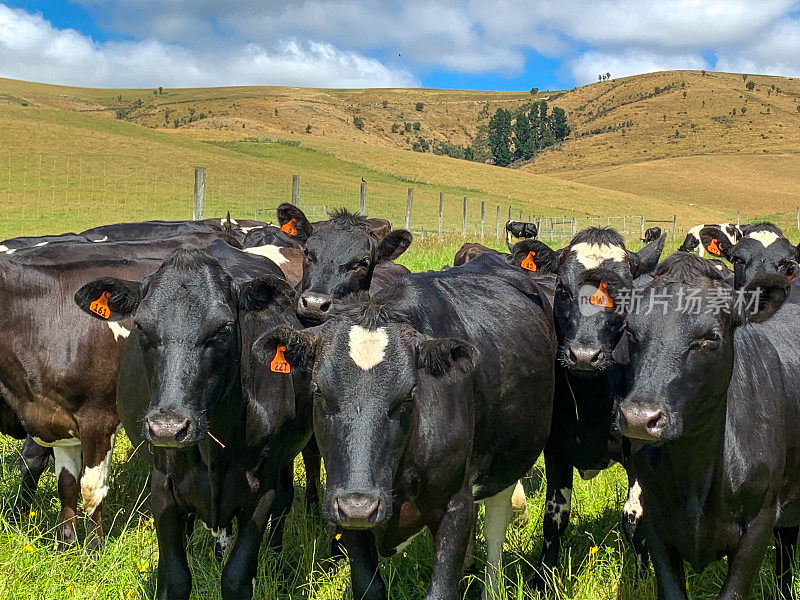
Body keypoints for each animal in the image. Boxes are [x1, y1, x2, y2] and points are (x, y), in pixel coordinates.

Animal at [74, 245, 312, 600]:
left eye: (223, 328)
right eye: (141, 326)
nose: (168, 428)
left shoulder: (261, 490)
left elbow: (237, 577)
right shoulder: (163, 485)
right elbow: (175, 577)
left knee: (285, 502)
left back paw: (277, 563)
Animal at [253, 254, 552, 600]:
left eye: (409, 394)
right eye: (318, 391)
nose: (359, 506)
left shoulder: (456, 505)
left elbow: (442, 588)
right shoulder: (347, 513)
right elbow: (369, 586)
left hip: (506, 467)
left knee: (495, 534)